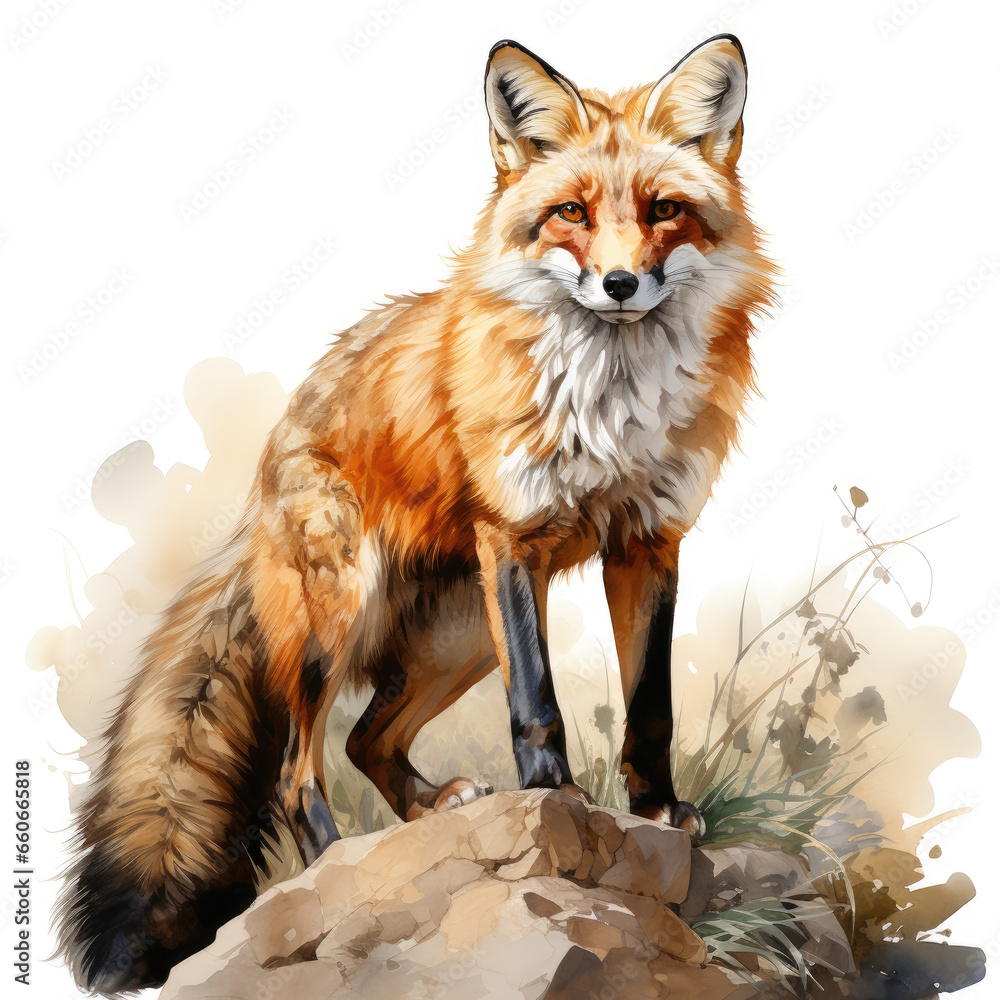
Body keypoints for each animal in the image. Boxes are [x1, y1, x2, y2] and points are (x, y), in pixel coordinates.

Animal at [56, 34, 775, 995]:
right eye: (571, 212)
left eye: (664, 210)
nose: (622, 283)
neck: (612, 405)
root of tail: (263, 478)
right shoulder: (511, 537)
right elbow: (538, 700)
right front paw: (556, 796)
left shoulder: (649, 542)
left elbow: (649, 705)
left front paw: (656, 810)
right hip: (341, 618)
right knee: (299, 770)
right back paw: (337, 858)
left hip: (459, 638)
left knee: (368, 741)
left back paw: (433, 809)